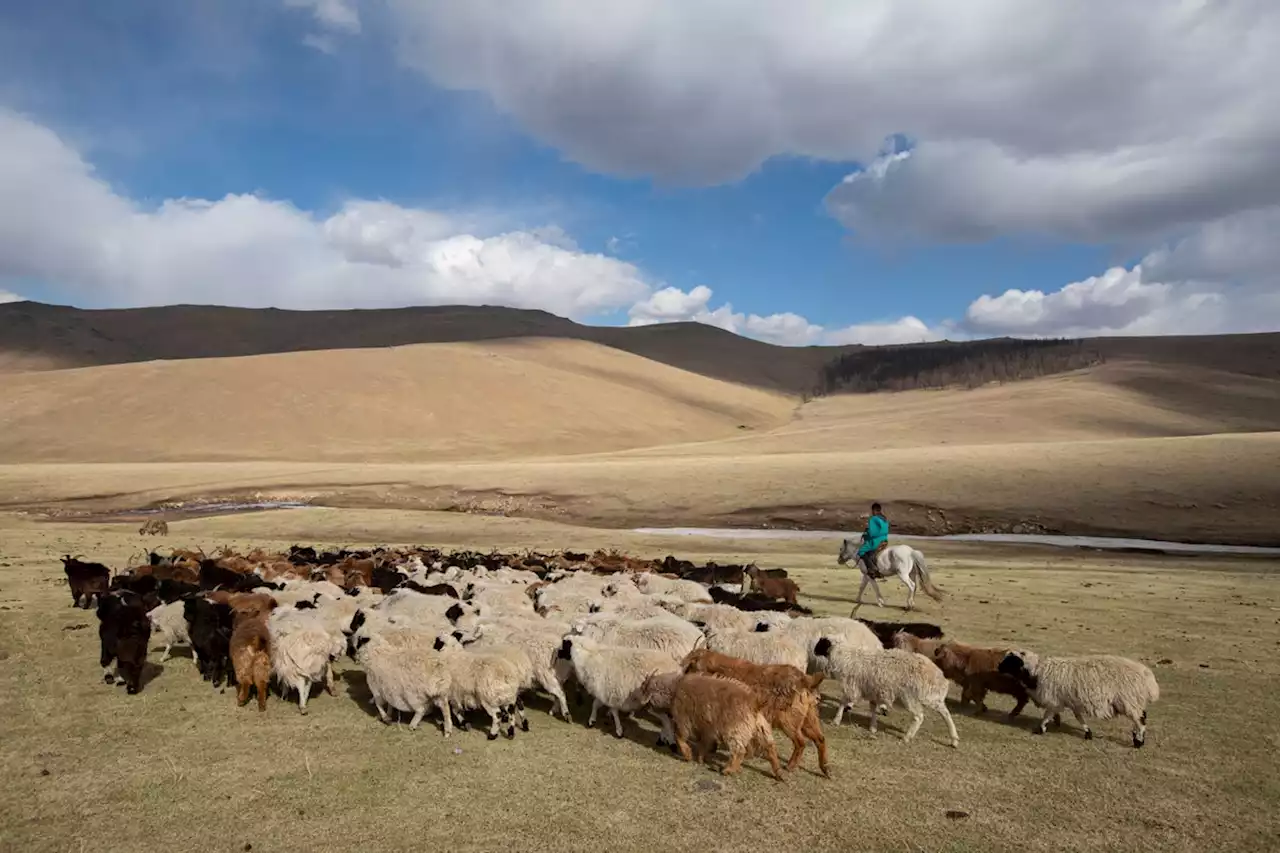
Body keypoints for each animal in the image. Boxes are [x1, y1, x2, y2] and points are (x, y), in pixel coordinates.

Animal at [637, 671, 783, 778]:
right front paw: (701, 759)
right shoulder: (707, 729)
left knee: (739, 750)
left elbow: (680, 737)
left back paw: (728, 770)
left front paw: (688, 755)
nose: (641, 705)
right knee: (771, 748)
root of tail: (754, 703)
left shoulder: (684, 720)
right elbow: (703, 745)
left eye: (644, 687)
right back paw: (778, 773)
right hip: (761, 729)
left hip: (734, 730)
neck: (674, 689)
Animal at [680, 645, 829, 778]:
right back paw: (826, 769)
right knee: (820, 739)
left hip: (789, 721)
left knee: (801, 742)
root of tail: (806, 680)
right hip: (809, 718)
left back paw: (790, 766)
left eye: (691, 665)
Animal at [814, 630, 957, 742]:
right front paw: (873, 727)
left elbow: (843, 702)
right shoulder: (872, 690)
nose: (814, 651)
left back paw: (907, 737)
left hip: (910, 697)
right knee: (945, 712)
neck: (845, 657)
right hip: (931, 696)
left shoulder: (852, 687)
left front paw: (836, 720)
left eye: (822, 642)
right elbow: (872, 708)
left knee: (919, 716)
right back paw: (954, 739)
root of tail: (938, 675)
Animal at [998, 650, 1162, 742]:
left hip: (1129, 701)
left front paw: (1040, 729)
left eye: (1010, 660)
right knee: (1140, 717)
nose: (998, 667)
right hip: (1132, 702)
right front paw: (1088, 733)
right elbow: (1079, 718)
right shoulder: (1071, 701)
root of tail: (1148, 677)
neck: (1037, 672)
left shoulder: (1054, 701)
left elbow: (1047, 715)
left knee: (1140, 720)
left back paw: (1139, 741)